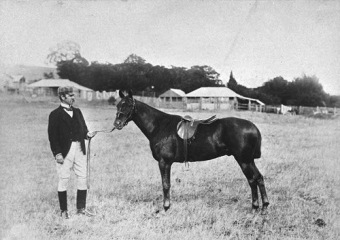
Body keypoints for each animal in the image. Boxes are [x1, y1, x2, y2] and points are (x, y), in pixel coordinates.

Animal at [114, 90, 268, 214]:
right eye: (118, 105)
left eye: (129, 105)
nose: (117, 124)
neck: (159, 126)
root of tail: (253, 127)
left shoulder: (164, 162)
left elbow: (166, 184)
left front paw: (166, 207)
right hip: (249, 160)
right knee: (259, 178)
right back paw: (264, 207)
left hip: (243, 160)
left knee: (252, 180)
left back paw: (254, 207)